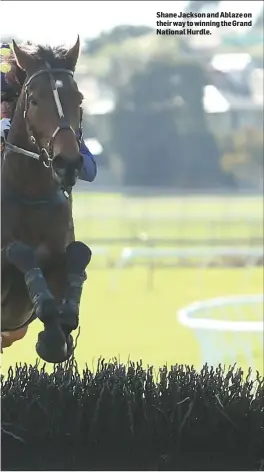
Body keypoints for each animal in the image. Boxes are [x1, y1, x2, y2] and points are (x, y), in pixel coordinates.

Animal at [1, 38, 92, 364]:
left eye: (78, 98)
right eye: (35, 100)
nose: (68, 163)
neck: (30, 195)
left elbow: (78, 254)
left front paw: (58, 329)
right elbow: (19, 251)